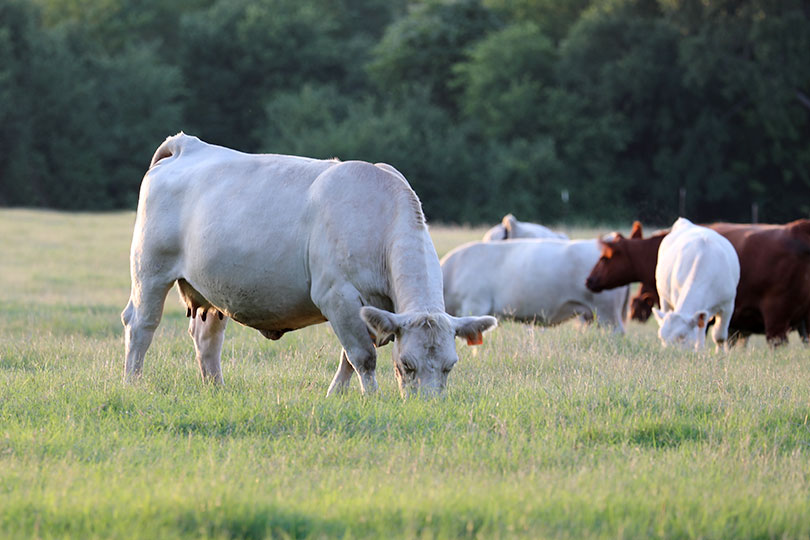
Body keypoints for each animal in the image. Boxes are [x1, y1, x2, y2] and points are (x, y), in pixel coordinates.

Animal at [121, 133, 496, 397]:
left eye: (450, 366)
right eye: (407, 365)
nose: (427, 406)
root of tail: (187, 144)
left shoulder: (370, 311)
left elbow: (349, 357)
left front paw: (337, 396)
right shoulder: (337, 295)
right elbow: (362, 356)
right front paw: (372, 398)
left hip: (212, 288)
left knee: (207, 338)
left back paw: (216, 388)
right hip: (150, 271)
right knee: (141, 325)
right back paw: (133, 382)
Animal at [653, 218, 740, 351]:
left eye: (682, 336)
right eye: (661, 337)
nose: (668, 352)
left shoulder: (728, 305)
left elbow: (719, 336)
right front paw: (699, 350)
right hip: (664, 298)